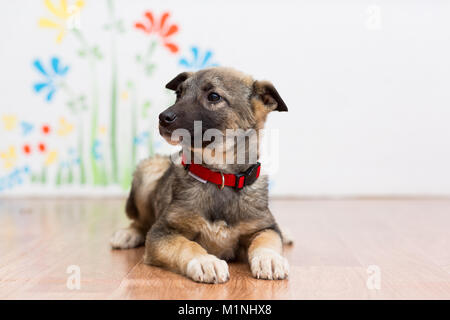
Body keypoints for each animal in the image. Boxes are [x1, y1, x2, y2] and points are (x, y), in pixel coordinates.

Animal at [110, 67, 290, 282]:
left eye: (213, 96)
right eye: (179, 94)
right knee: (141, 222)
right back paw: (128, 234)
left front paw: (270, 258)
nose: (162, 117)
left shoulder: (263, 226)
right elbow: (186, 244)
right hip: (148, 170)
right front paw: (205, 261)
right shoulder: (162, 231)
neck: (219, 175)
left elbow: (268, 239)